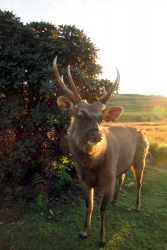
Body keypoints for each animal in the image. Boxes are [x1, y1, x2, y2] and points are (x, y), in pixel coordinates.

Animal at [53, 57, 149, 246]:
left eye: (101, 118)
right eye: (79, 115)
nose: (97, 135)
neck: (91, 166)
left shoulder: (108, 178)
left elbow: (101, 209)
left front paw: (102, 238)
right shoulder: (83, 180)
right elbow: (89, 206)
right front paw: (84, 232)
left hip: (141, 158)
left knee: (139, 182)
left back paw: (137, 206)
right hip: (121, 165)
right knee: (122, 178)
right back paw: (116, 201)